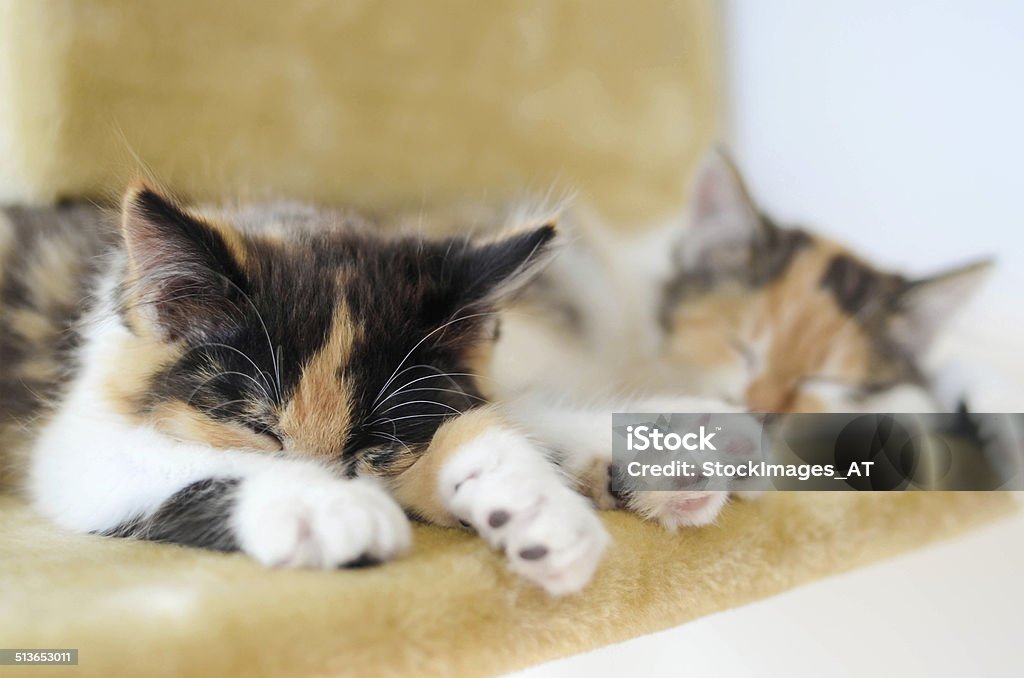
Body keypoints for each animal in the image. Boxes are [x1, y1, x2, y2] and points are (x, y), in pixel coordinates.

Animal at [0, 188, 610, 598]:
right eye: (258, 429)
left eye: (372, 444)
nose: (333, 486)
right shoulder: (77, 441)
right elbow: (177, 458)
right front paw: (324, 504)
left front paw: (536, 504)